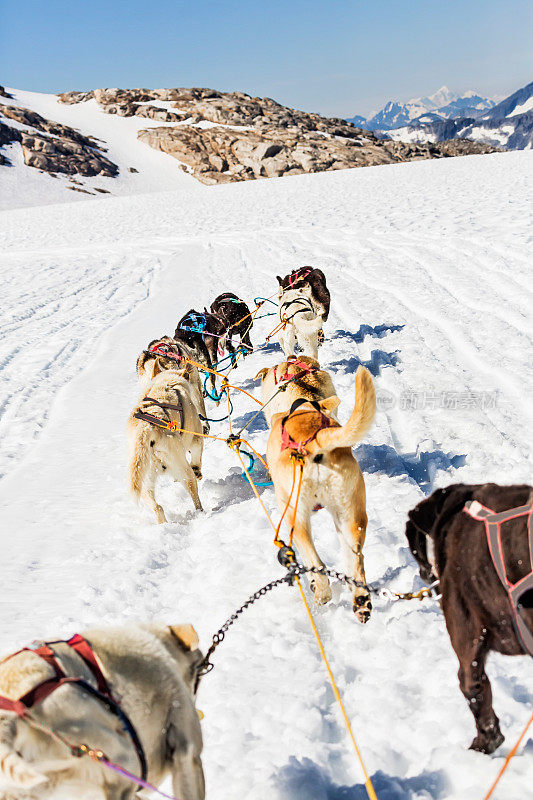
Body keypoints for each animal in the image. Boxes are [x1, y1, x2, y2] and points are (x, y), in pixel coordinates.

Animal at [128, 360, 205, 520]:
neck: (167, 382)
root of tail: (146, 429)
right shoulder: (196, 434)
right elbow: (197, 454)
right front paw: (198, 470)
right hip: (182, 468)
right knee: (192, 487)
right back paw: (200, 511)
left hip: (143, 479)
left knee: (158, 507)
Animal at [266, 368, 374, 624]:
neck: (303, 410)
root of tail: (314, 442)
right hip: (351, 515)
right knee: (356, 558)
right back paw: (361, 600)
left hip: (296, 517)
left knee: (317, 563)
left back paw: (322, 591)